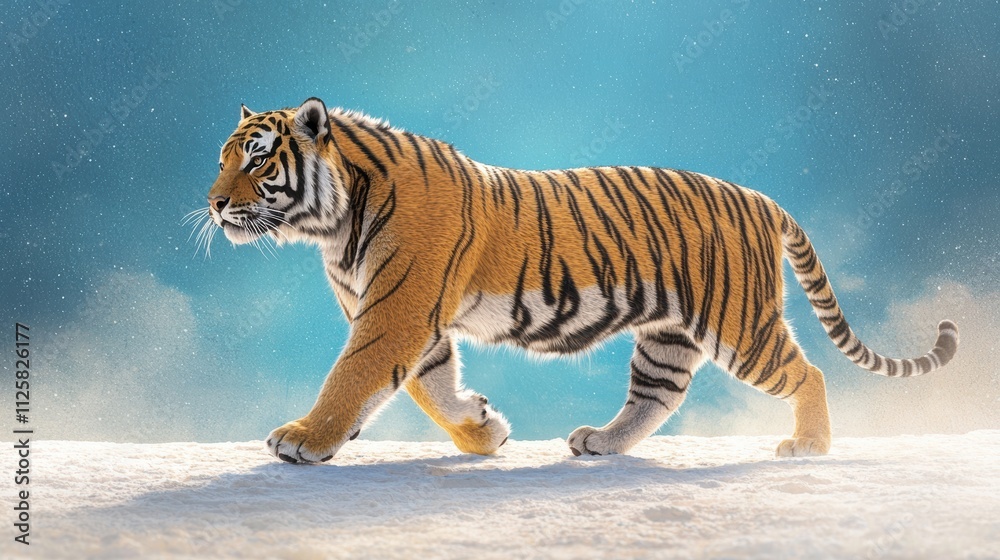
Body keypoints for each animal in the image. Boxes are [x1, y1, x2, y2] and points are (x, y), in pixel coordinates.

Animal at [203, 97, 959, 463]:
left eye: (258, 161)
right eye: (222, 159)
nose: (212, 203)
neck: (331, 223)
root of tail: (759, 196)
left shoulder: (397, 310)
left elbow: (354, 376)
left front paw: (305, 439)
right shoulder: (412, 317)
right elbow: (433, 386)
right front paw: (485, 432)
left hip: (738, 324)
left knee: (809, 372)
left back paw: (810, 446)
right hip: (669, 333)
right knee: (658, 396)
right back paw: (600, 442)